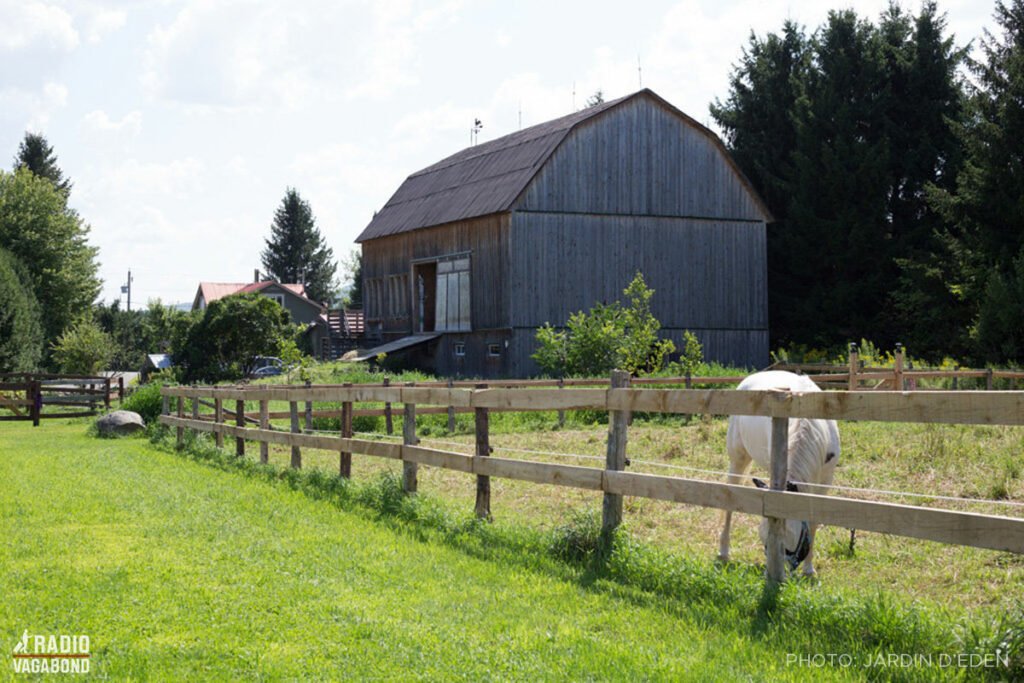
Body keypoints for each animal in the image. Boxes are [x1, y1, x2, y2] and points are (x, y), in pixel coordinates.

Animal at [720, 370, 839, 573]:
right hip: (738, 459)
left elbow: (814, 521)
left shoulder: (825, 480)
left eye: (788, 542)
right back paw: (724, 551)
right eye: (764, 541)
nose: (776, 573)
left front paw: (809, 569)